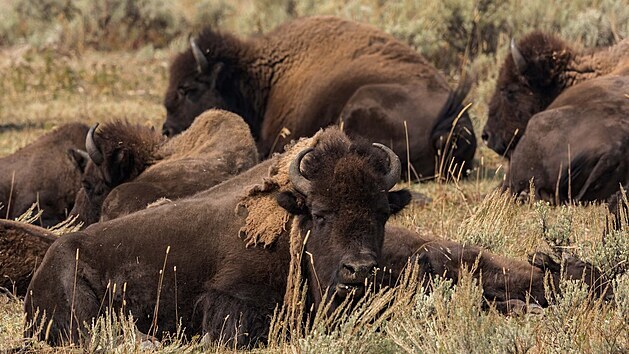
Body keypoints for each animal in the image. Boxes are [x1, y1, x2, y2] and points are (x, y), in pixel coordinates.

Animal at [25, 126, 608, 346]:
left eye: (381, 213)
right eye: (321, 214)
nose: (359, 269)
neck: (294, 231)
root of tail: (45, 266)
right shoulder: (226, 300)